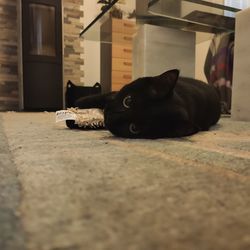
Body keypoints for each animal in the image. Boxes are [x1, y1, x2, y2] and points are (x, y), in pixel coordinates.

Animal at [74, 69, 221, 139]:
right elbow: (103, 96)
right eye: (127, 101)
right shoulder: (113, 95)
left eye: (134, 128)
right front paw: (79, 102)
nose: (109, 116)